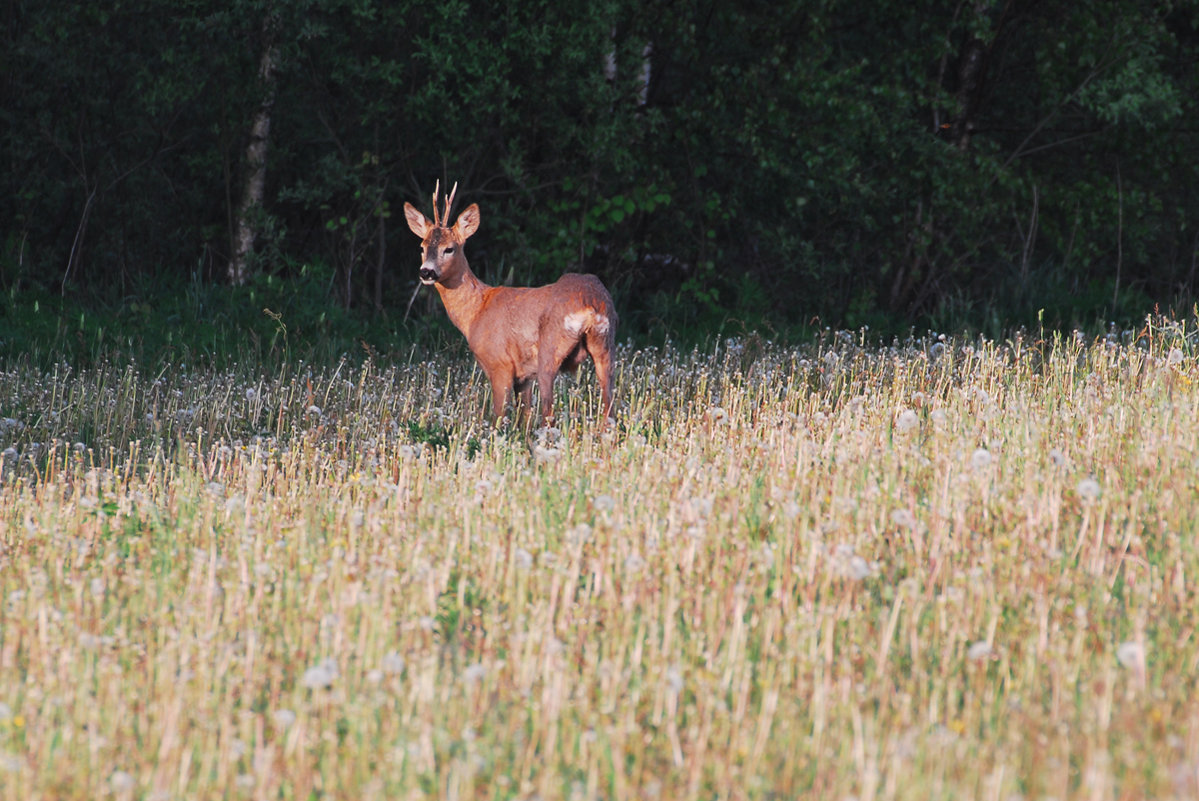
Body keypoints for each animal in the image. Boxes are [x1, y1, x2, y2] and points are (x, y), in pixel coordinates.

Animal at [405, 182, 618, 429]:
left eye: (449, 248)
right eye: (422, 247)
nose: (426, 272)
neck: (476, 312)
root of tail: (591, 304)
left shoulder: (500, 365)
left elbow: (499, 416)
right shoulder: (524, 377)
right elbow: (523, 419)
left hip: (550, 349)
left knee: (549, 414)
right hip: (605, 346)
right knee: (609, 410)